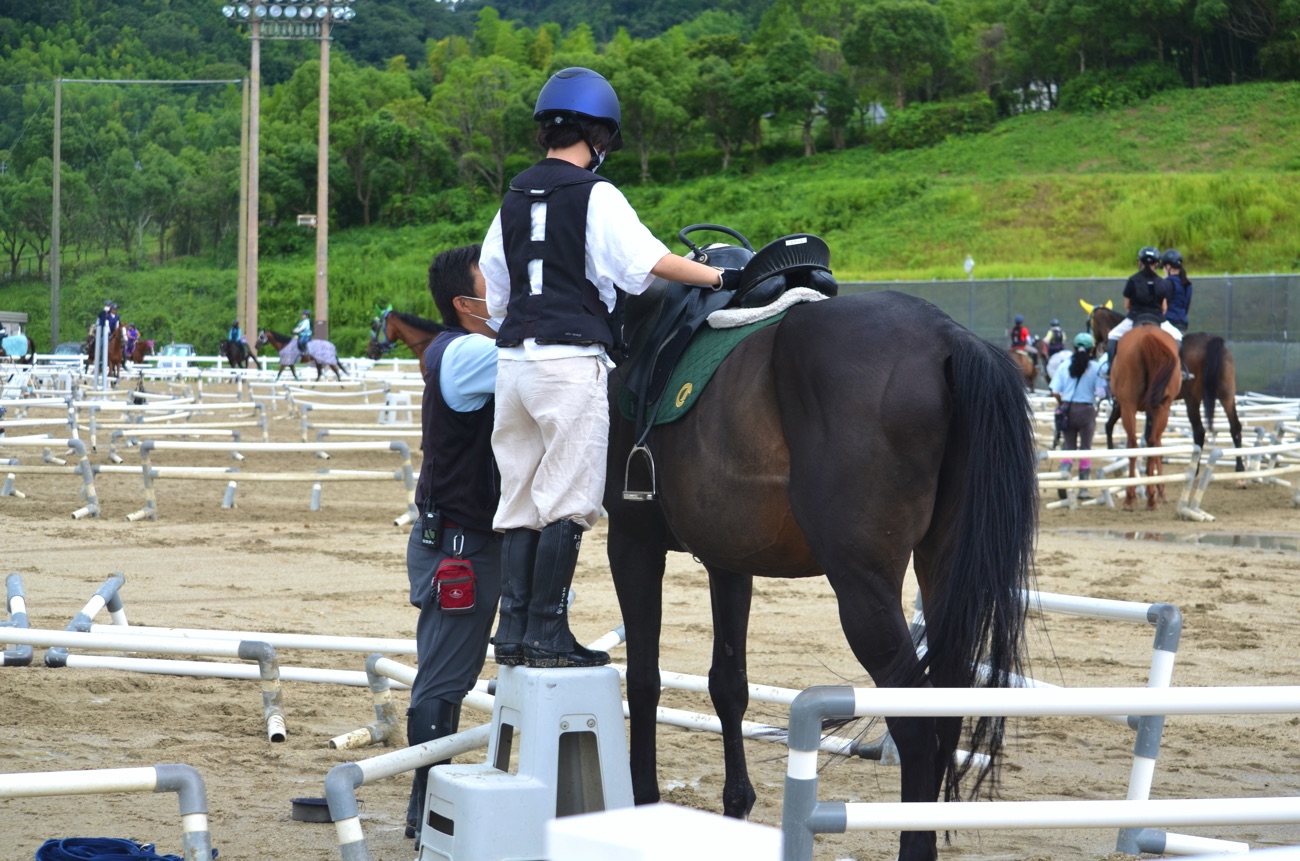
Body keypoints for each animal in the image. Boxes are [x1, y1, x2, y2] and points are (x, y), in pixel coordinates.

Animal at [605, 274, 1034, 861]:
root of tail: (947, 336)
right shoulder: (728, 562)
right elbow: (728, 684)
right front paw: (736, 806)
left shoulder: (631, 544)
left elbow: (644, 678)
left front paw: (644, 805)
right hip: (943, 573)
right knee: (945, 710)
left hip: (863, 587)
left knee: (916, 725)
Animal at [1102, 325, 1185, 512]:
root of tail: (1147, 336)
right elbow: (1154, 445)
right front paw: (1158, 490)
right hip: (1156, 407)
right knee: (1149, 443)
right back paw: (1143, 498)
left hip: (1131, 406)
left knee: (1137, 444)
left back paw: (1136, 497)